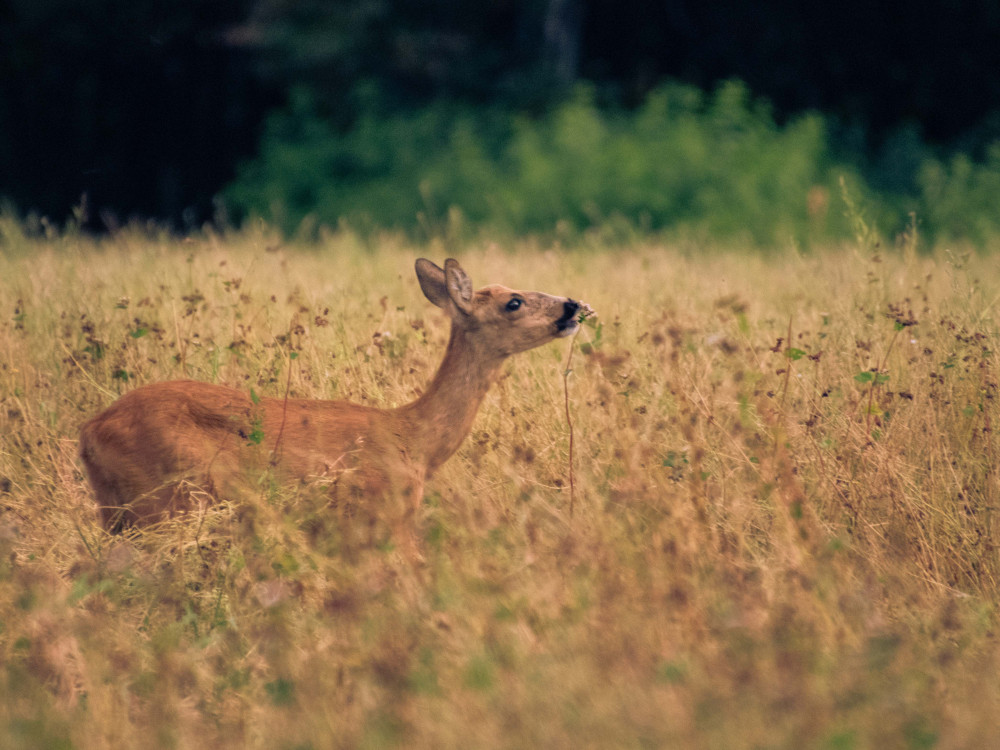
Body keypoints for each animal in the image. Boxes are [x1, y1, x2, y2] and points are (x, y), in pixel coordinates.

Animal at [82, 258, 584, 536]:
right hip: (171, 500)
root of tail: (88, 433)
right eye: (512, 302)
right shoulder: (385, 511)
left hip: (119, 512)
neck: (416, 441)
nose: (573, 306)